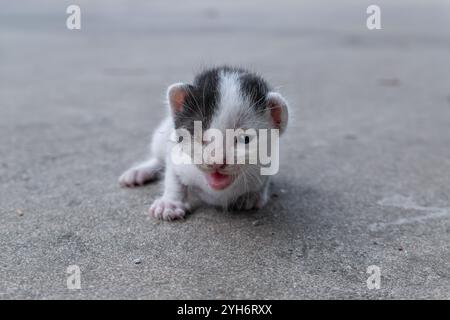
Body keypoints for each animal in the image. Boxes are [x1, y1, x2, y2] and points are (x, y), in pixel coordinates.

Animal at [118, 65, 288, 220]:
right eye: (199, 134)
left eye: (244, 139)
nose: (217, 161)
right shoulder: (177, 155)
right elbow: (173, 174)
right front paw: (170, 204)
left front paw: (252, 195)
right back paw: (139, 172)